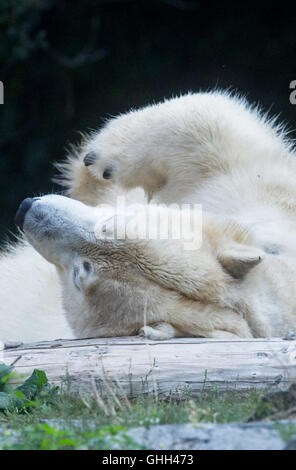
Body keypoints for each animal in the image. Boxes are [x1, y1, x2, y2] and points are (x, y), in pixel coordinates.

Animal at [1, 92, 296, 342]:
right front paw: (101, 160)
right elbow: (211, 119)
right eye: (109, 225)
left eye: (78, 274)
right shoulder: (253, 200)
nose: (25, 210)